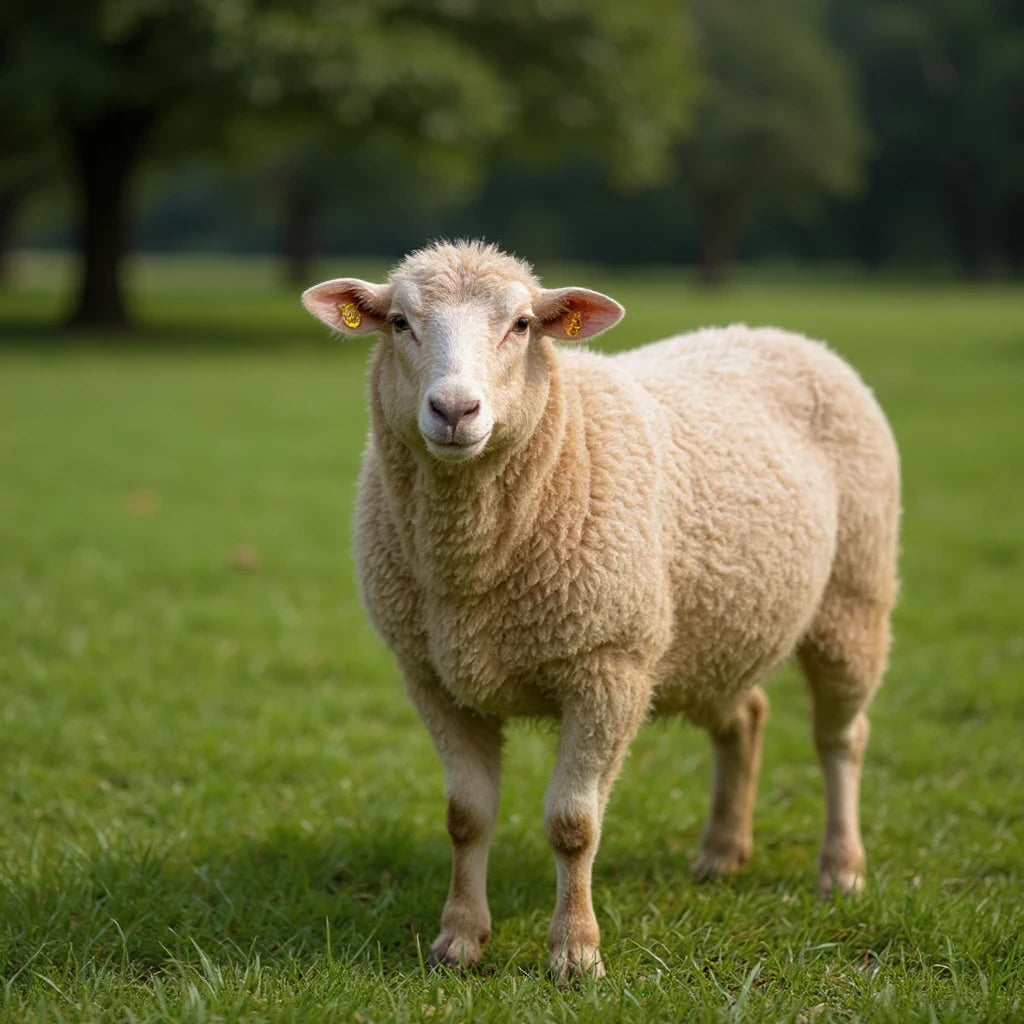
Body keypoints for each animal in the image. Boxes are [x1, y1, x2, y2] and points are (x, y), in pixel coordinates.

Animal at [301, 240, 900, 983]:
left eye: (522, 325)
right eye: (400, 323)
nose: (455, 409)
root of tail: (782, 333)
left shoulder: (608, 668)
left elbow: (572, 823)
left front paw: (575, 953)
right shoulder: (433, 676)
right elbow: (466, 816)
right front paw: (459, 940)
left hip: (853, 598)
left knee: (841, 738)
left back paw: (840, 869)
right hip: (710, 633)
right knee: (747, 718)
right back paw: (722, 852)